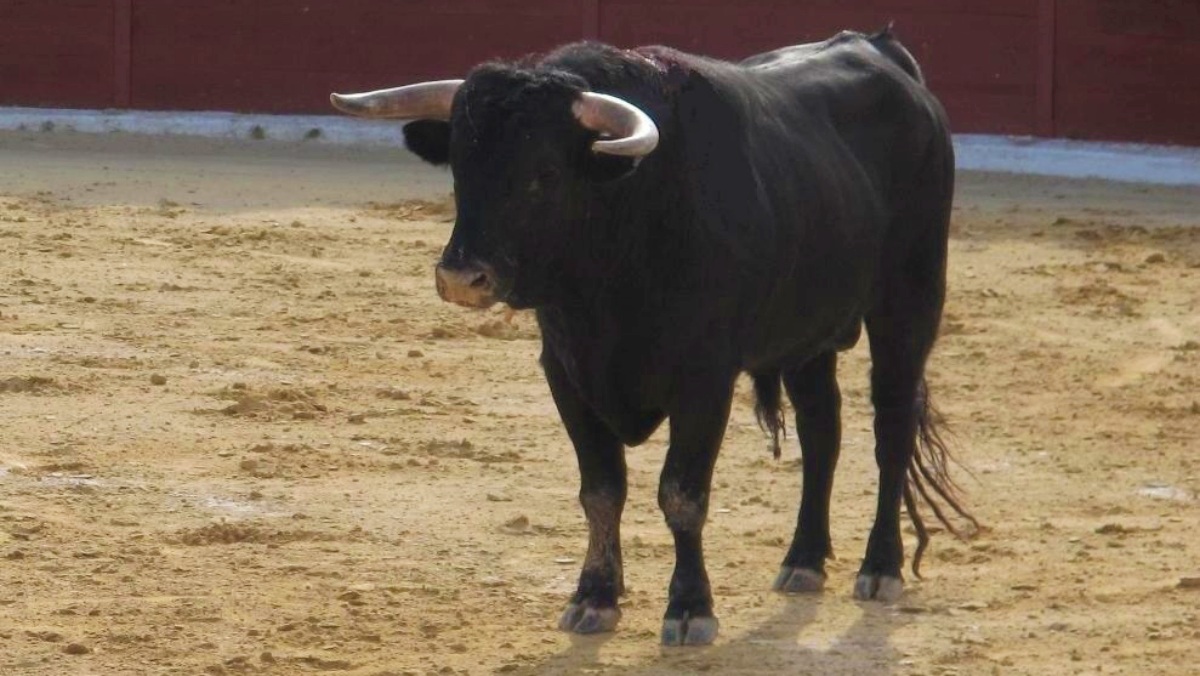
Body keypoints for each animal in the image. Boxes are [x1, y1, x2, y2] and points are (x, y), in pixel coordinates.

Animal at [331, 26, 974, 648]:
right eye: (461, 169)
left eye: (544, 174)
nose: (462, 278)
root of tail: (882, 49)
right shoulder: (566, 372)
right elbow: (601, 490)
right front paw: (594, 597)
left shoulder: (705, 380)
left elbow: (681, 495)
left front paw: (690, 609)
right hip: (807, 335)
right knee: (822, 433)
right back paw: (804, 561)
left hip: (908, 304)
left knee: (890, 430)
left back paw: (881, 566)